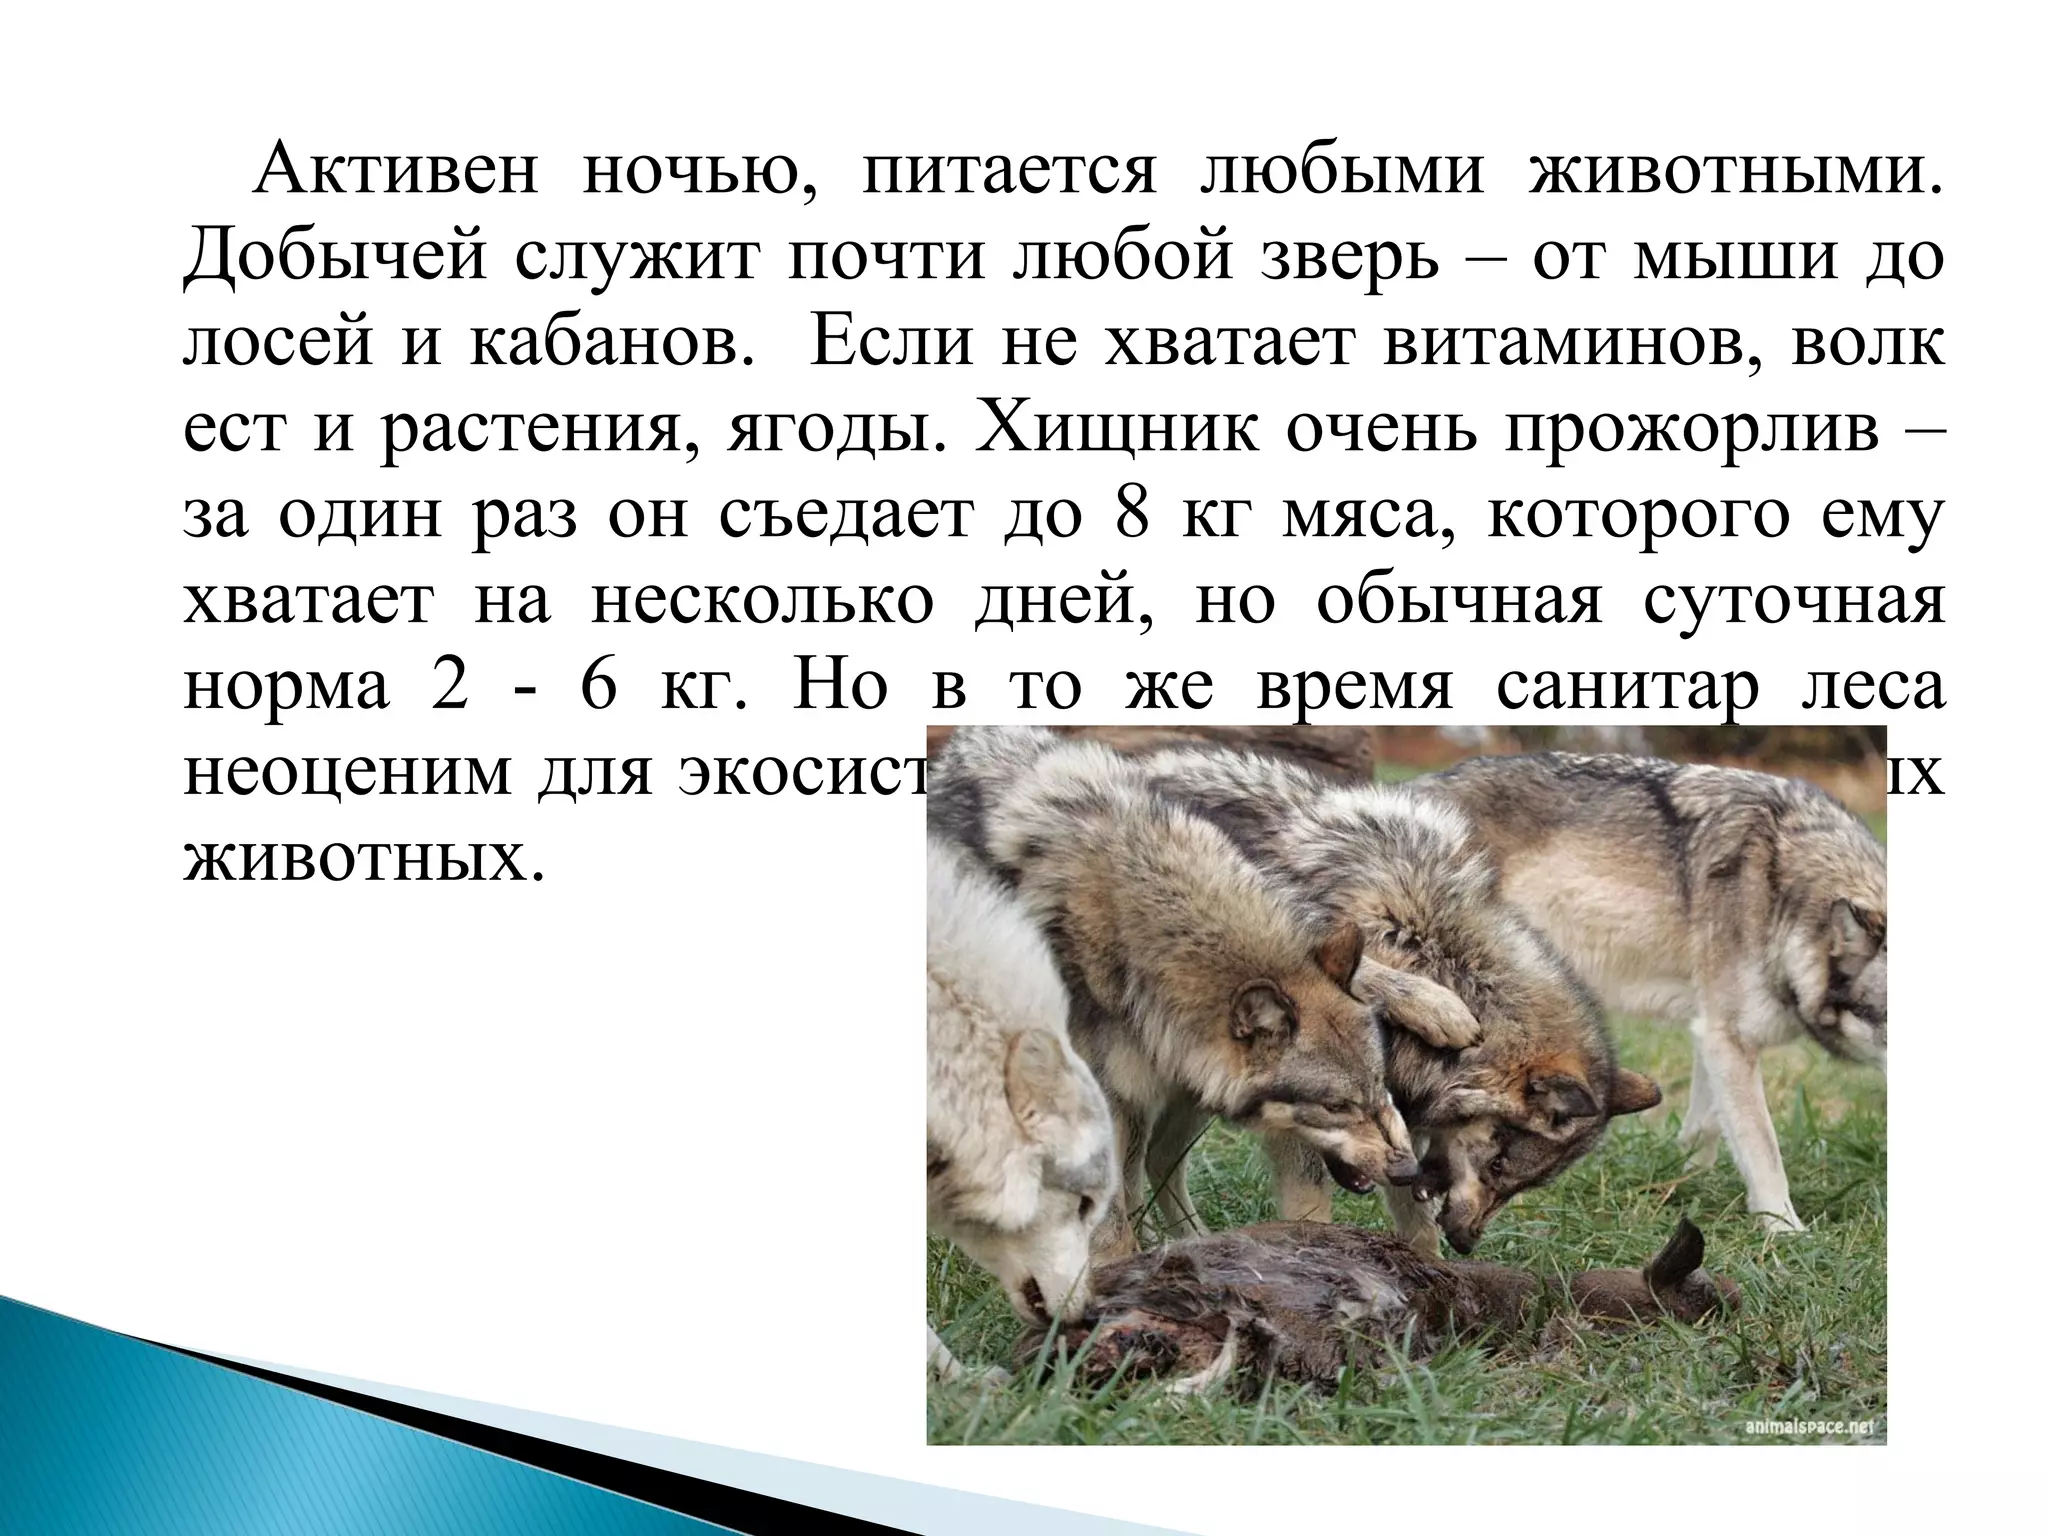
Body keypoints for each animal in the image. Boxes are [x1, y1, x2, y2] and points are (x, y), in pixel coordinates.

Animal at [930, 726, 1480, 1259]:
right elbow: (1109, 1222)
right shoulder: (1109, 1096)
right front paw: (1112, 1270)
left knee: (1152, 1167)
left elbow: (1361, 967)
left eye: (1378, 1086)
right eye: (1336, 1107)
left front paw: (1437, 1004)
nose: (1408, 1172)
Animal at [1140, 746, 1661, 1254]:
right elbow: (1312, 1210)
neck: (1429, 946)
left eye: (1524, 1186)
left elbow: (1418, 1225)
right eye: (1496, 1168)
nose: (1467, 1244)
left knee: (1155, 1157)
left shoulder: (1400, 1131)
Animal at [1419, 752, 1887, 1232]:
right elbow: (1764, 1147)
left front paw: (1684, 1182)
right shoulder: (1729, 1037)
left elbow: (1709, 1126)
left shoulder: (1711, 1033)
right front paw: (1785, 1230)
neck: (1785, 895)